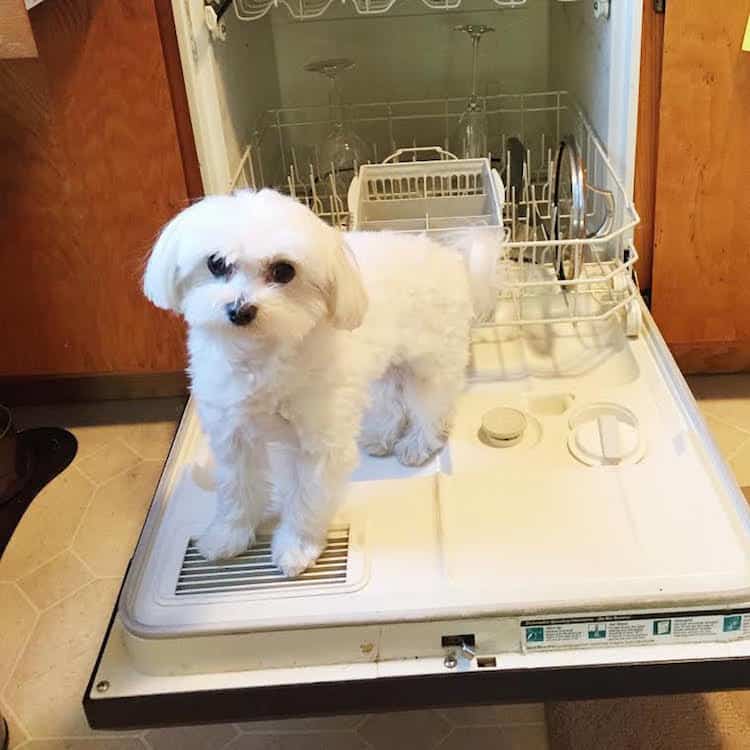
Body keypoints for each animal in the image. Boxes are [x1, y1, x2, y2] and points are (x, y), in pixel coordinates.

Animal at [145, 188, 500, 576]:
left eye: (284, 271)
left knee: (431, 406)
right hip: (385, 363)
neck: (261, 353)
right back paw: (381, 435)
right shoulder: (231, 435)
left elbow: (306, 498)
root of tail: (452, 259)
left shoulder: (318, 443)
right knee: (391, 397)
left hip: (430, 361)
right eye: (216, 264)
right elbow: (236, 490)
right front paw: (228, 536)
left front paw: (296, 548)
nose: (239, 310)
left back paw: (417, 444)